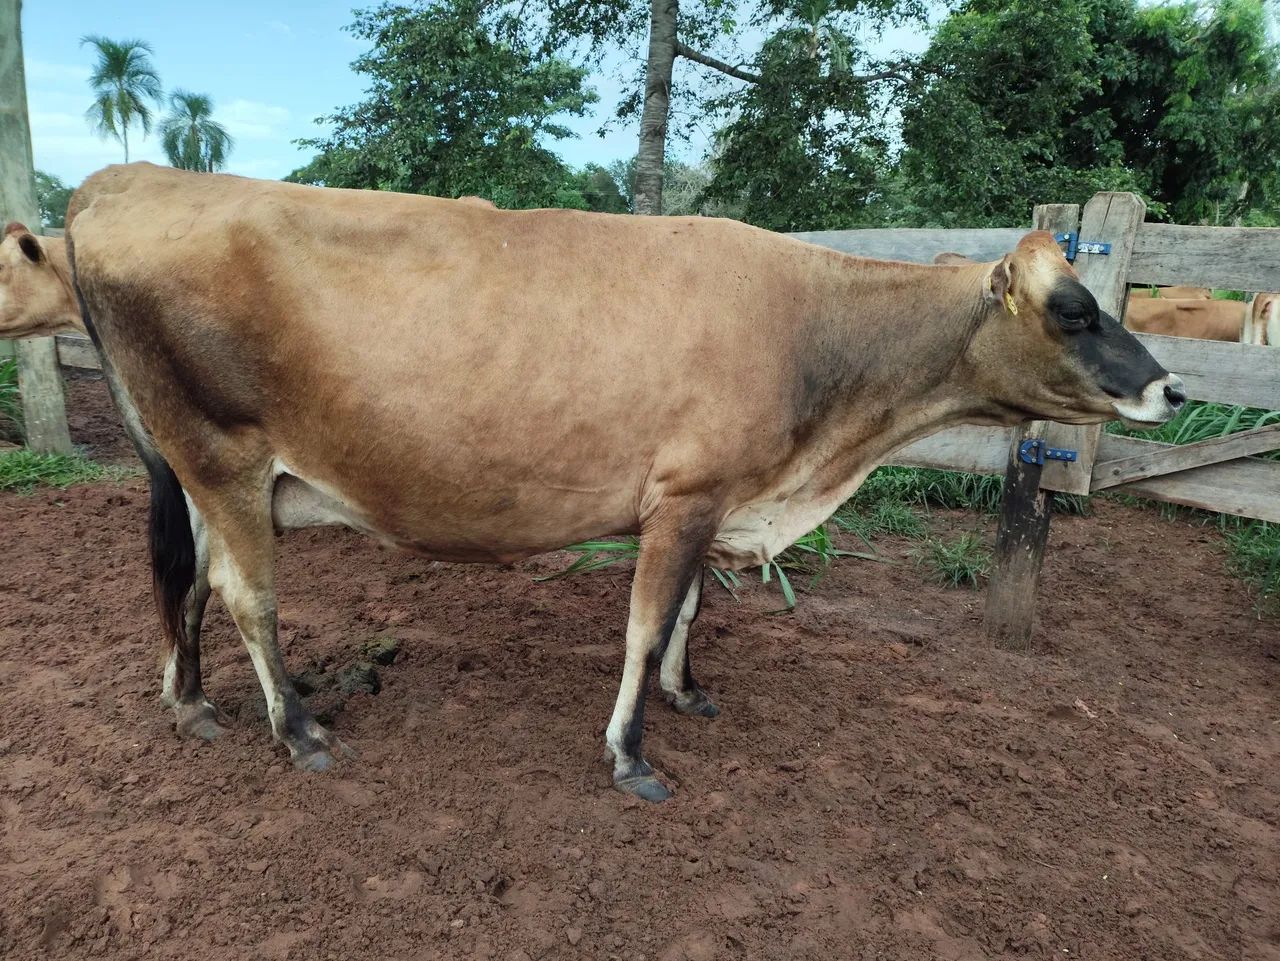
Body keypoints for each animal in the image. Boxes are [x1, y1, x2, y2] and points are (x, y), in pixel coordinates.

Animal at [63, 163, 1185, 802]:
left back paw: (193, 702)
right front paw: (632, 754)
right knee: (245, 593)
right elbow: (646, 624)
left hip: (205, 474)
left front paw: (688, 693)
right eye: (1073, 308)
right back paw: (296, 728)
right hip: (223, 456)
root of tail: (122, 180)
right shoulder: (685, 494)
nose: (1169, 386)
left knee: (188, 581)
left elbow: (688, 611)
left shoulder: (712, 495)